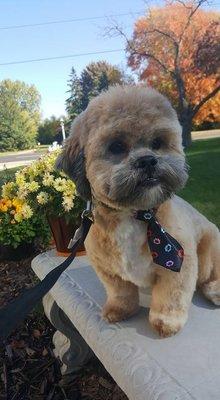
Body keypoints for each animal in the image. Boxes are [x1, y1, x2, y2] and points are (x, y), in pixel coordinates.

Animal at [56, 85, 220, 338]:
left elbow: (170, 298)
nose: (148, 160)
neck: (135, 214)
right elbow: (120, 292)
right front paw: (120, 310)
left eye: (158, 142)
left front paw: (165, 322)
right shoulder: (107, 269)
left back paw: (214, 290)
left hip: (209, 250)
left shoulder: (179, 265)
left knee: (211, 275)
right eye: (116, 147)